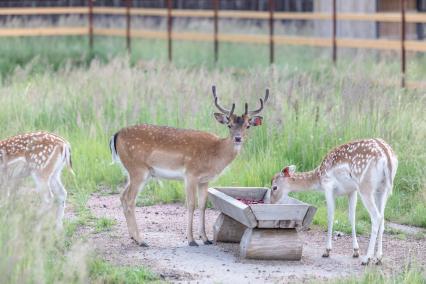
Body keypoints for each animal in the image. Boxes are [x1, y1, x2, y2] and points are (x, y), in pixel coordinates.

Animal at [111, 86, 268, 246]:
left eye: (247, 126)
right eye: (229, 125)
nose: (237, 138)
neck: (215, 154)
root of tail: (116, 135)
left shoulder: (204, 180)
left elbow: (202, 205)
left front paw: (205, 239)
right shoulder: (191, 174)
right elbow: (191, 204)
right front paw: (192, 240)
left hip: (134, 172)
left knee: (122, 196)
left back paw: (133, 237)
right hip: (138, 169)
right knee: (130, 199)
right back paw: (141, 240)